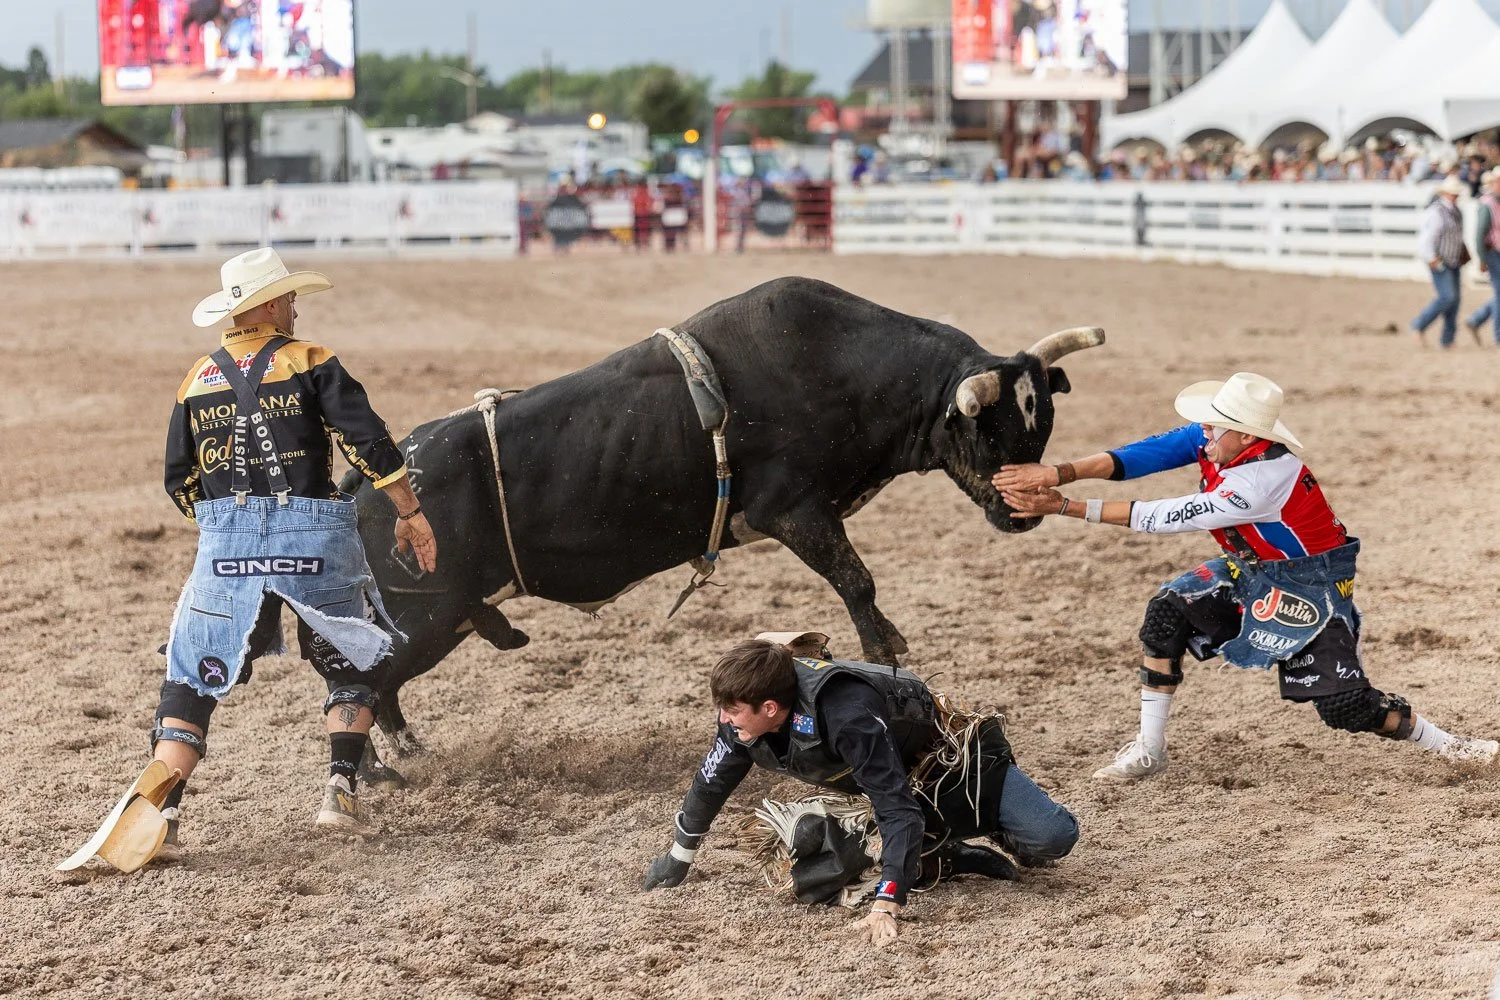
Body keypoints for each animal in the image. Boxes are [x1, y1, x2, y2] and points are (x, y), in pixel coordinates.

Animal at [347, 277, 1103, 766]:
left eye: (1040, 427)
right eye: (991, 433)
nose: (1022, 513)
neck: (845, 367)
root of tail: (379, 478)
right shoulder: (793, 510)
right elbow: (857, 582)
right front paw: (885, 658)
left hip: (442, 616)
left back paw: (397, 751)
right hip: (429, 613)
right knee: (361, 676)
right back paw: (384, 761)